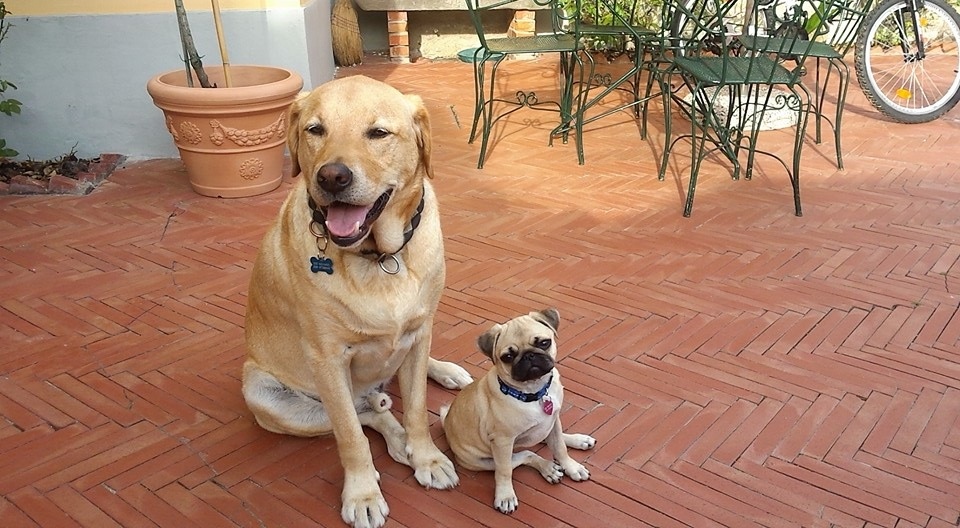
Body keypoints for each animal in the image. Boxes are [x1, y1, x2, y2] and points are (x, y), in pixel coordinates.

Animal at [244, 76, 472, 528]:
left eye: (378, 133)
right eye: (315, 130)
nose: (332, 177)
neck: (380, 258)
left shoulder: (419, 331)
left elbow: (417, 409)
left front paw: (427, 457)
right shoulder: (327, 358)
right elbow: (350, 436)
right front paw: (363, 494)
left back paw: (443, 377)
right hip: (262, 393)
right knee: (367, 412)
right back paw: (393, 436)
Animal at [440, 308, 592, 512]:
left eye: (544, 343)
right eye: (508, 357)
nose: (529, 356)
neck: (533, 392)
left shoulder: (553, 420)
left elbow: (560, 447)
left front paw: (571, 466)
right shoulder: (503, 442)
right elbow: (504, 472)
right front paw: (505, 495)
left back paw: (578, 440)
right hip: (482, 461)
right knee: (525, 456)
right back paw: (548, 468)